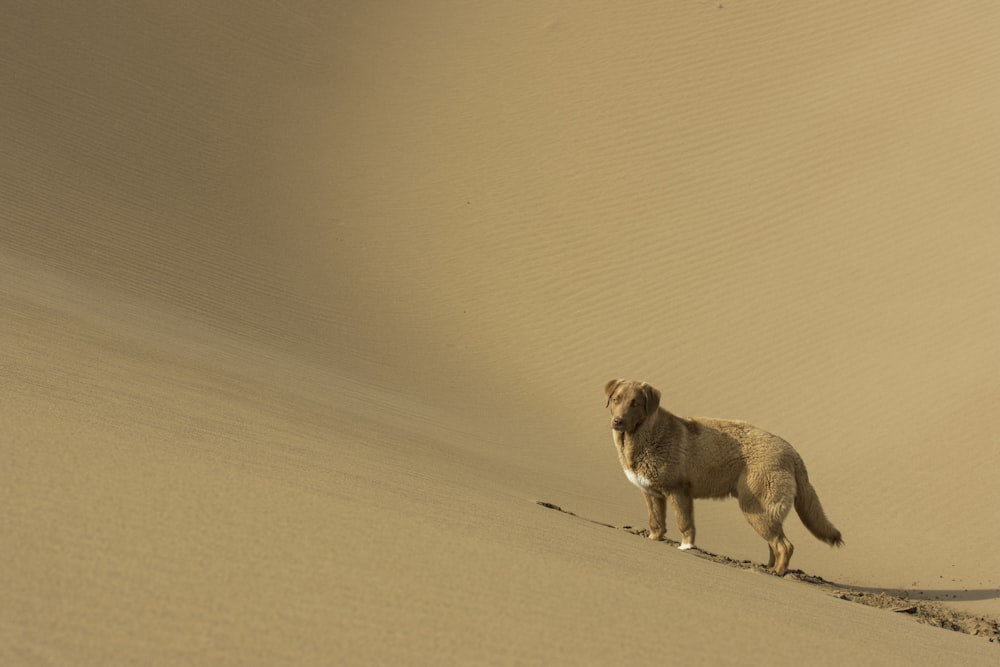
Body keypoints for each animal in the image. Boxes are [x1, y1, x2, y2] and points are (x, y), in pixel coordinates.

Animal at [600, 378, 844, 576]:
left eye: (635, 403)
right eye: (616, 399)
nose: (618, 421)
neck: (645, 436)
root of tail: (792, 451)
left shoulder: (678, 491)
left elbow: (685, 524)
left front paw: (686, 548)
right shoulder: (651, 493)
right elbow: (656, 523)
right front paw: (654, 540)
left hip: (755, 510)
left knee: (785, 545)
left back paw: (777, 573)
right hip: (765, 514)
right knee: (775, 544)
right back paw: (767, 568)